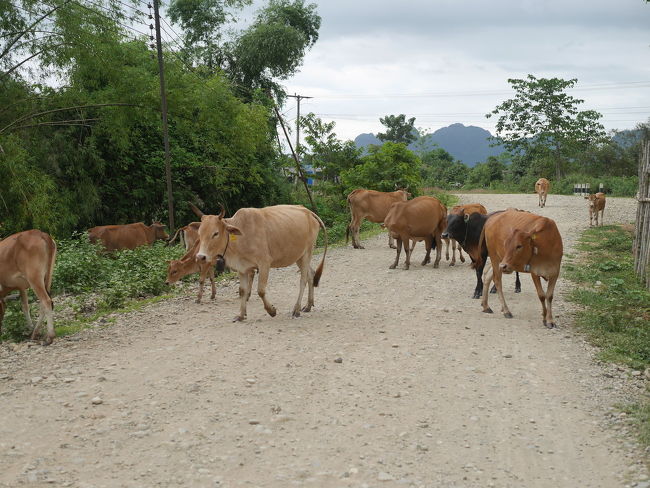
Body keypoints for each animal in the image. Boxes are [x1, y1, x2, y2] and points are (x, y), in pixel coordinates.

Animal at [190, 201, 326, 320]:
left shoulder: (264, 263)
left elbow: (260, 290)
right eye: (200, 233)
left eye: (216, 233)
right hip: (298, 256)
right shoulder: (242, 268)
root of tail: (307, 211)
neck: (241, 237)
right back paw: (308, 306)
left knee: (303, 279)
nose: (201, 257)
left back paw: (296, 309)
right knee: (311, 274)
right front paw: (241, 315)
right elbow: (242, 291)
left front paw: (271, 311)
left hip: (307, 252)